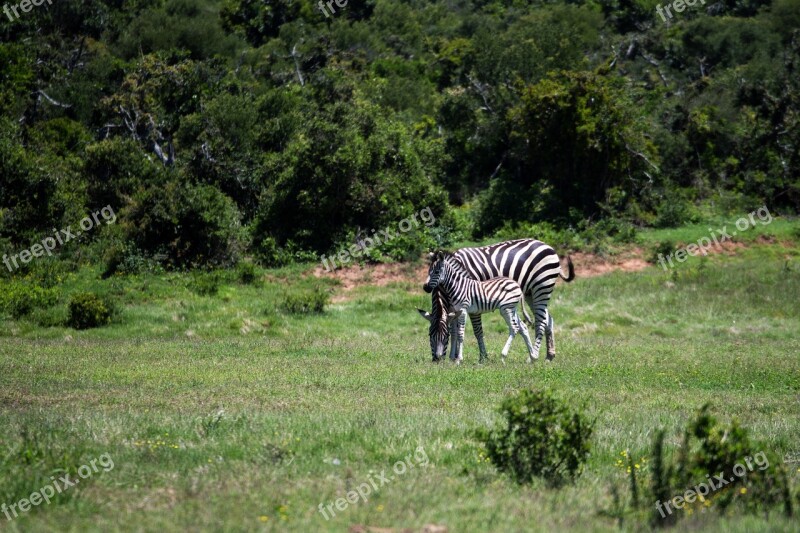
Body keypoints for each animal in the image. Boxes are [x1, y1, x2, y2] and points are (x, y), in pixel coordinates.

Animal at [418, 240, 576, 362]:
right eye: (430, 335)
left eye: (444, 337)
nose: (436, 360)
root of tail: (548, 246)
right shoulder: (454, 308)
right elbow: (455, 330)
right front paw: (453, 356)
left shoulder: (473, 304)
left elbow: (477, 331)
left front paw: (482, 357)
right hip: (531, 293)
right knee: (547, 318)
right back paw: (549, 355)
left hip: (542, 287)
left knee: (541, 321)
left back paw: (533, 356)